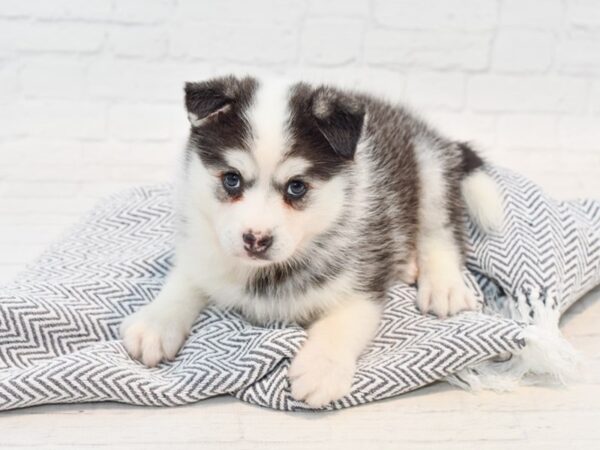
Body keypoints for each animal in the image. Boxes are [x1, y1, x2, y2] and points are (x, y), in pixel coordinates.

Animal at [120, 74, 502, 408]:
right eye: (231, 179)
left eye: (296, 187)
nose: (255, 240)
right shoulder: (203, 245)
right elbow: (185, 280)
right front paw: (156, 322)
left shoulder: (364, 275)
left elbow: (344, 320)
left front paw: (322, 367)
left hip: (429, 167)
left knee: (441, 229)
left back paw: (443, 284)